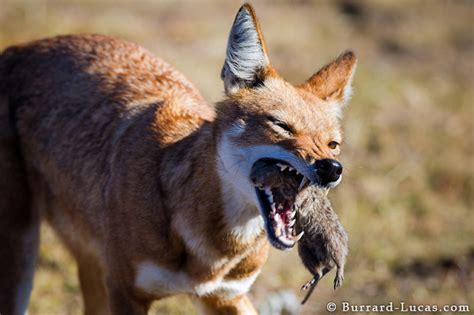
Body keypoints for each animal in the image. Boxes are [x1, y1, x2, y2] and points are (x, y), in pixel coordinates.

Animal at [0, 3, 356, 315]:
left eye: (333, 144)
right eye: (281, 125)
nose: (331, 168)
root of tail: (16, 48)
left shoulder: (225, 296)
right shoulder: (125, 292)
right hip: (22, 259)